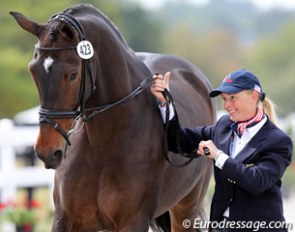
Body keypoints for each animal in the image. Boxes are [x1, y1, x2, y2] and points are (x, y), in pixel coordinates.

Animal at [10, 4, 216, 232]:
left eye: (73, 74)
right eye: (33, 70)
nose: (47, 152)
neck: (102, 143)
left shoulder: (133, 221)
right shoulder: (66, 218)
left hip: (186, 207)